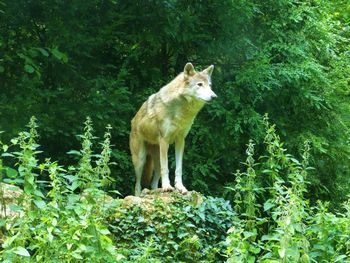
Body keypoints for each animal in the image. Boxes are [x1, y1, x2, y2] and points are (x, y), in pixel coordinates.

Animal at [129, 63, 216, 197]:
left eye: (209, 85)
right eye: (200, 84)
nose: (214, 96)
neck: (180, 111)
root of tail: (133, 121)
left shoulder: (180, 140)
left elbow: (178, 168)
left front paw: (180, 187)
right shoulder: (164, 140)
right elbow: (166, 168)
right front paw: (167, 186)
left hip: (156, 160)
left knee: (154, 182)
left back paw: (156, 191)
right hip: (140, 160)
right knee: (137, 185)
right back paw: (140, 195)